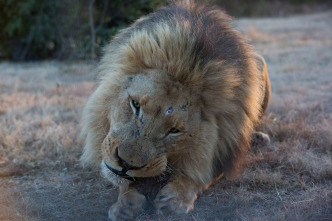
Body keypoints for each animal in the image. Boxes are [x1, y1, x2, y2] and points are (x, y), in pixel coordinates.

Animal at [80, 0, 270, 220]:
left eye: (174, 131)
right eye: (135, 104)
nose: (126, 164)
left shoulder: (223, 150)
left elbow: (200, 175)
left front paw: (175, 199)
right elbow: (121, 182)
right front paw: (125, 203)